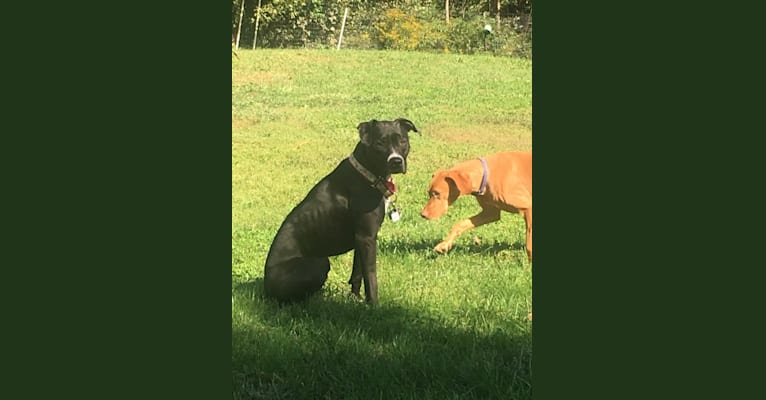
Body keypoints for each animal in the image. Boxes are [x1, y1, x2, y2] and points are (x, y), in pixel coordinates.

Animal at [264, 118, 420, 304]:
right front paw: (374, 306)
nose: (396, 161)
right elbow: (371, 276)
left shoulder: (361, 238)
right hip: (319, 262)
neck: (368, 173)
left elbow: (358, 273)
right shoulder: (367, 237)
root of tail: (265, 287)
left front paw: (356, 299)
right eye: (380, 143)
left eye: (403, 141)